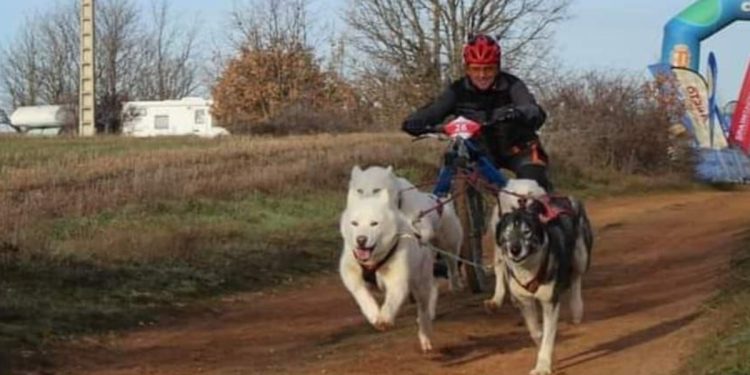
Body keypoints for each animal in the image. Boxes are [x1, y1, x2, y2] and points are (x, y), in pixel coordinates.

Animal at [340, 191, 438, 352]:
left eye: (374, 223)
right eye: (354, 223)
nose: (361, 240)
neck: (373, 261)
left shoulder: (398, 280)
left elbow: (391, 300)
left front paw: (385, 318)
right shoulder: (351, 274)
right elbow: (362, 294)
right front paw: (373, 314)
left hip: (421, 285)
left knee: (423, 311)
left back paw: (425, 336)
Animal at [484, 180, 596, 375]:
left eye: (527, 232)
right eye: (507, 232)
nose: (514, 249)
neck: (528, 268)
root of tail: (562, 197)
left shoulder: (549, 303)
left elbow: (548, 336)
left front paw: (543, 366)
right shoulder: (526, 301)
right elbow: (538, 333)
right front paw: (549, 354)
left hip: (581, 256)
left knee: (576, 278)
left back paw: (576, 308)